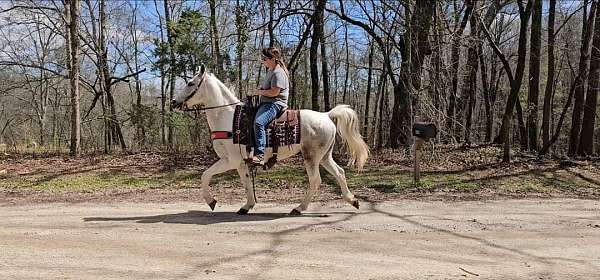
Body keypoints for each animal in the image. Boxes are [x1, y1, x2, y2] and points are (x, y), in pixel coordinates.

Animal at [170, 67, 370, 214]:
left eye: (190, 83)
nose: (173, 102)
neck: (228, 117)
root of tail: (326, 115)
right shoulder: (241, 163)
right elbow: (246, 183)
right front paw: (247, 205)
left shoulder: (230, 160)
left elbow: (206, 175)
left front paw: (211, 201)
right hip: (325, 156)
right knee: (339, 173)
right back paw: (353, 200)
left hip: (311, 157)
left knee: (315, 180)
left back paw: (299, 208)